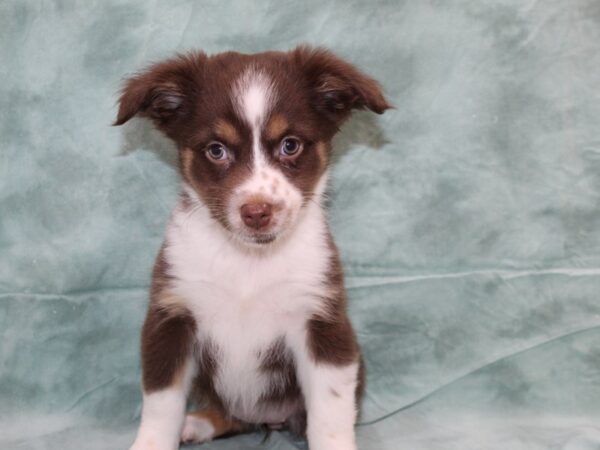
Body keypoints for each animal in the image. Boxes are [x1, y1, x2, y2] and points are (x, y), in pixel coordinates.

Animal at [115, 46, 392, 450]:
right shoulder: (171, 316)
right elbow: (161, 403)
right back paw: (198, 423)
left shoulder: (322, 321)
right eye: (216, 150)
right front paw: (152, 442)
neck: (249, 260)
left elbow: (331, 411)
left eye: (290, 145)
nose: (257, 212)